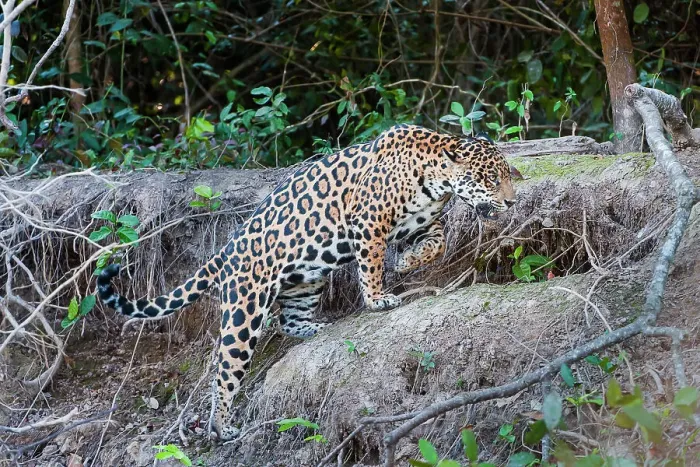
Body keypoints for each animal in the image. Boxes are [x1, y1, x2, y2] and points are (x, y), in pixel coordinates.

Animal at [97, 123, 517, 441]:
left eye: (507, 177)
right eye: (490, 178)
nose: (512, 203)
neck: (436, 178)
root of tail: (225, 252)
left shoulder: (421, 224)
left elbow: (437, 241)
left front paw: (407, 261)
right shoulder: (369, 221)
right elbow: (371, 262)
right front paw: (378, 297)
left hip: (307, 277)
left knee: (288, 320)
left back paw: (314, 327)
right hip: (245, 310)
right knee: (225, 369)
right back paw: (222, 428)